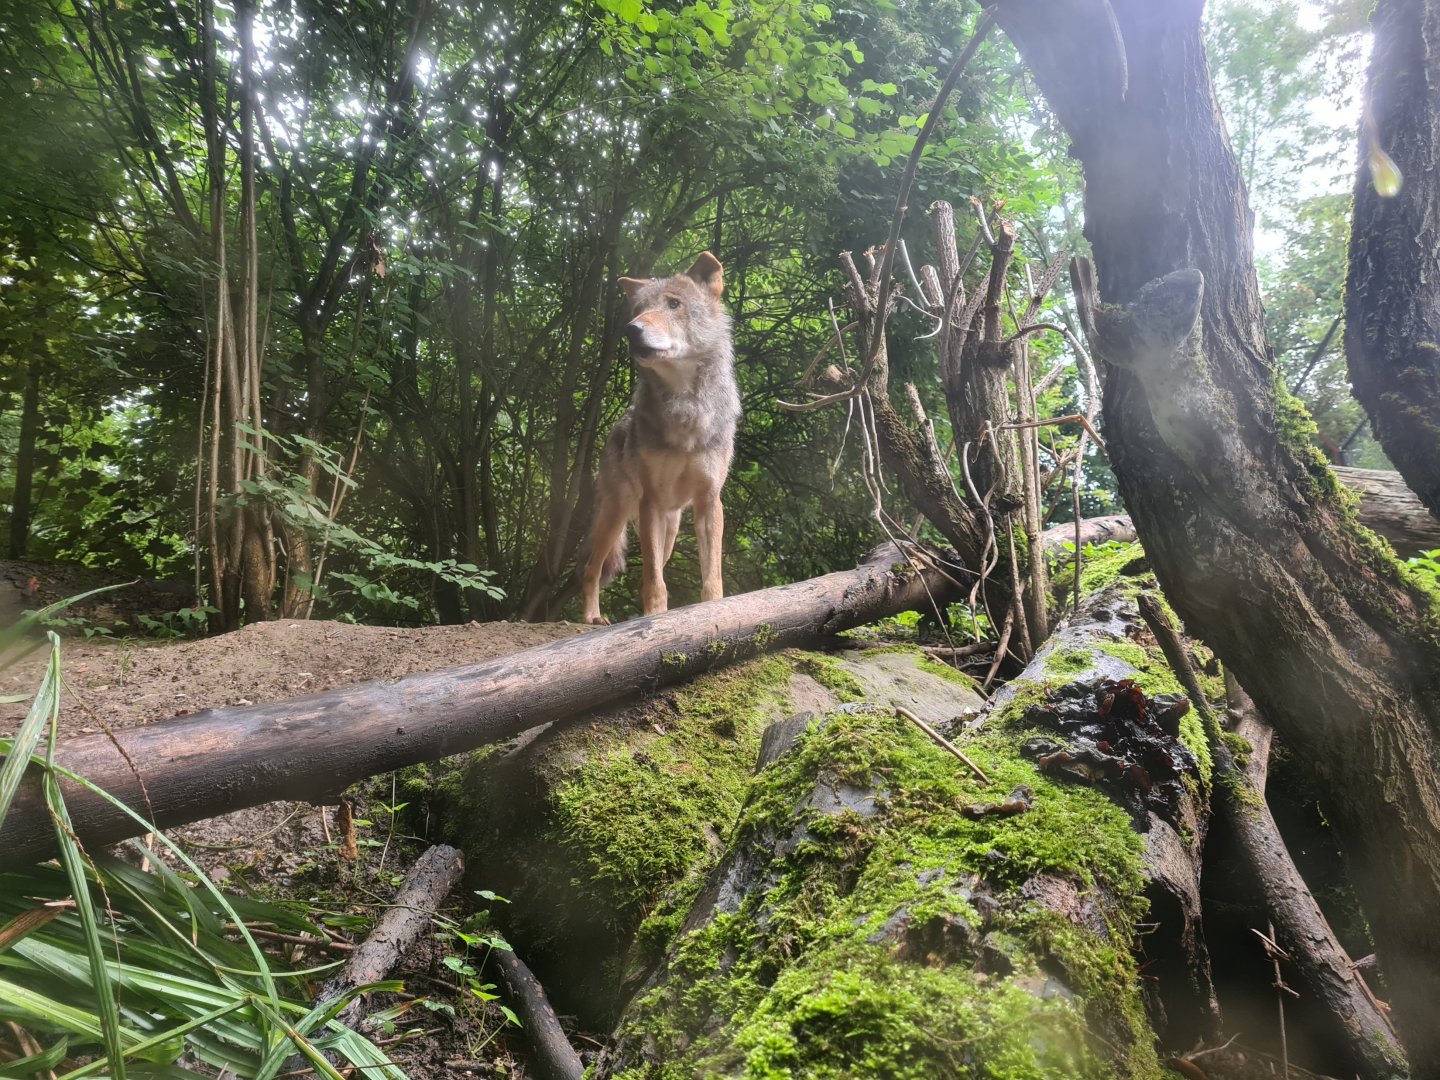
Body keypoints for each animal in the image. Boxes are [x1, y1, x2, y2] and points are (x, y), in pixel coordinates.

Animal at [580, 251, 742, 625]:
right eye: (639, 309)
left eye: (673, 304)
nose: (631, 329)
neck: (686, 411)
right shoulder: (650, 502)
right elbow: (653, 581)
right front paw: (653, 619)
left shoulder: (709, 500)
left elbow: (711, 576)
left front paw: (714, 610)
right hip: (617, 515)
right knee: (591, 568)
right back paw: (592, 618)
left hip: (669, 529)